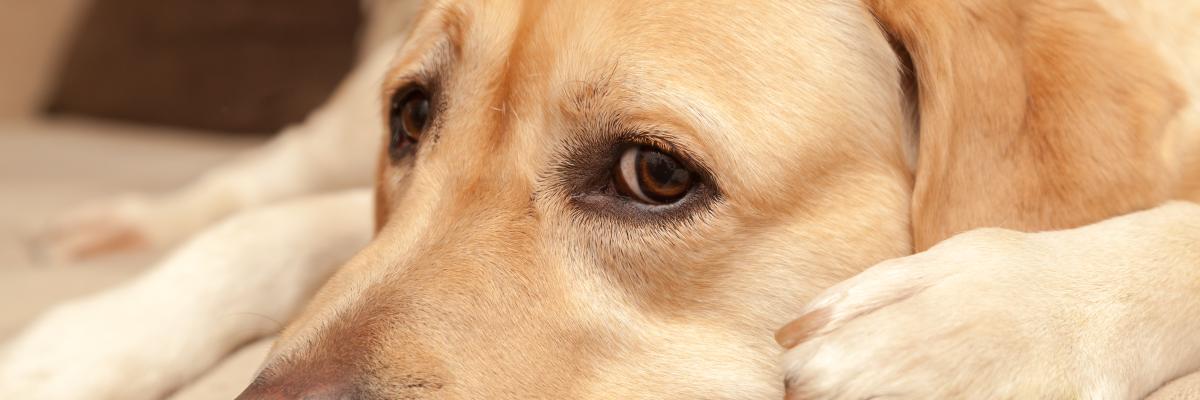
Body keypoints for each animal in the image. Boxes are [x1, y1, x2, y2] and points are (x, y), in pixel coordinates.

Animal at [2, 0, 1200, 396]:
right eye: (414, 117)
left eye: (654, 178)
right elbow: (280, 230)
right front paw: (85, 343)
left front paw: (978, 318)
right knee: (274, 169)